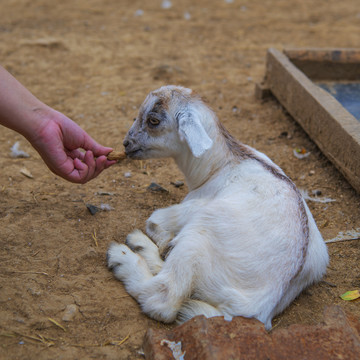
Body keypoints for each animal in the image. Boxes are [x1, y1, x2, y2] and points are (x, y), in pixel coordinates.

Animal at [107, 84, 330, 330]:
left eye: (153, 121)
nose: (126, 144)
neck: (220, 166)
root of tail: (259, 306)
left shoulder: (191, 207)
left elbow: (154, 220)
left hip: (198, 238)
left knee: (163, 299)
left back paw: (125, 256)